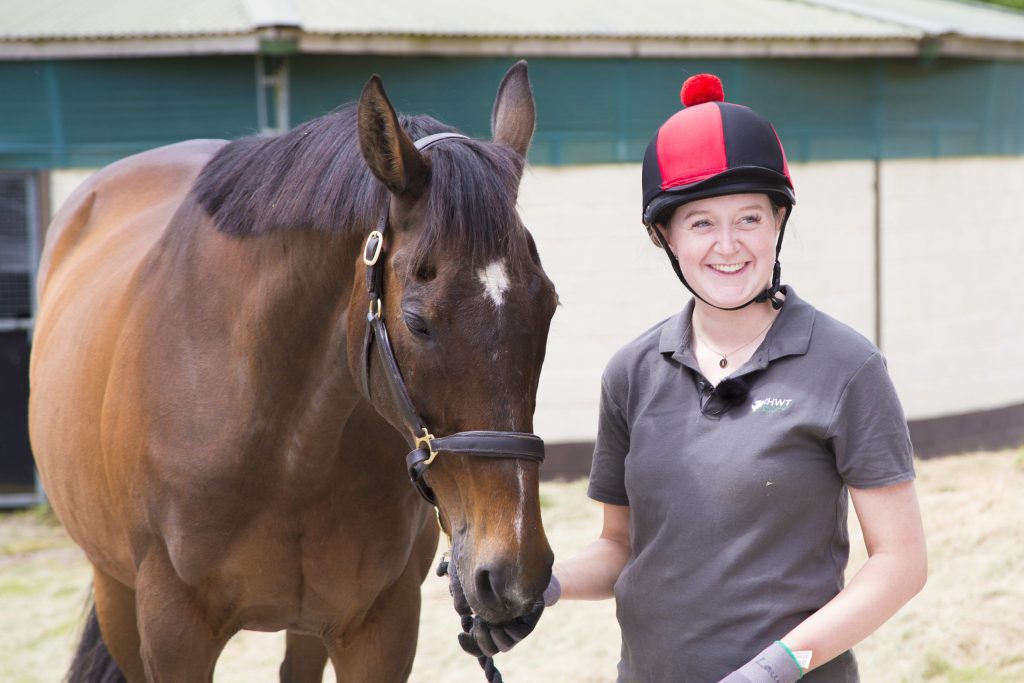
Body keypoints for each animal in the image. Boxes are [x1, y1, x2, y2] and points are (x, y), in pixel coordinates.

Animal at [28, 60, 558, 682]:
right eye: (417, 322)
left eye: (549, 306)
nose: (514, 574)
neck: (284, 446)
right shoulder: (172, 632)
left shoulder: (380, 628)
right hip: (115, 590)